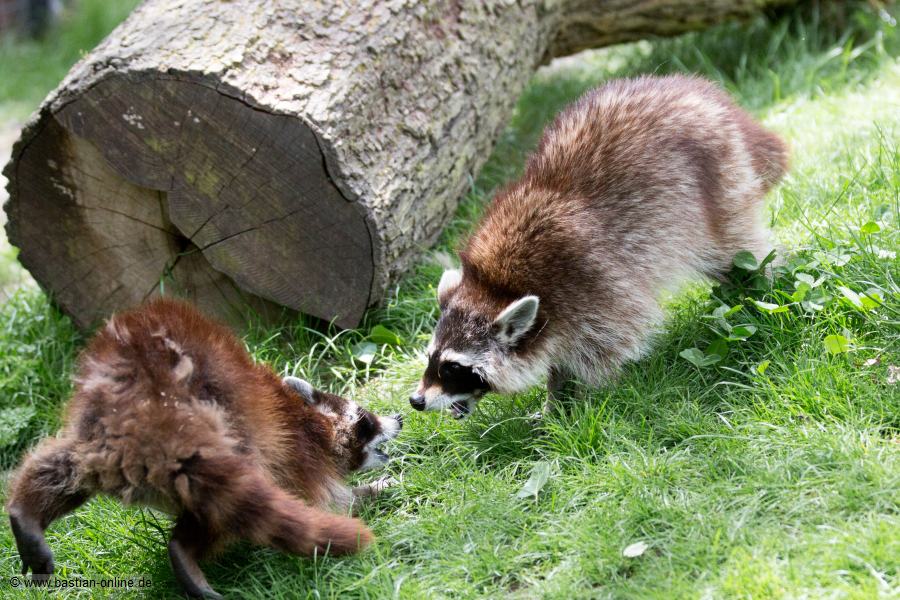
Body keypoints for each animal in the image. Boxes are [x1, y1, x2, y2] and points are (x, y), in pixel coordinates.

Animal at [6, 298, 402, 599]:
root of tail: (146, 397)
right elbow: (330, 501)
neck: (308, 419)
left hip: (97, 435)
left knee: (63, 466)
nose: (398, 417)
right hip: (224, 434)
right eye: (366, 421)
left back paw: (25, 512)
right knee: (231, 502)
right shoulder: (296, 450)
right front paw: (374, 491)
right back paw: (185, 549)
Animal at [410, 75, 788, 419]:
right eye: (431, 358)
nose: (416, 401)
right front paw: (554, 402)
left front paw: (595, 397)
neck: (494, 287)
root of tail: (706, 97)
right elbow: (559, 355)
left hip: (720, 183)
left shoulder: (594, 287)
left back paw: (763, 288)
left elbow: (608, 346)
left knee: (737, 251)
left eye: (454, 368)